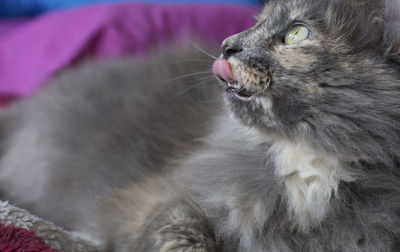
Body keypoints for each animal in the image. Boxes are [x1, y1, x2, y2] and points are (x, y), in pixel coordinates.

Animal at [0, 0, 400, 251]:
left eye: (297, 34)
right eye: (256, 21)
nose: (228, 45)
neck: (309, 161)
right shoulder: (159, 199)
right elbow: (180, 233)